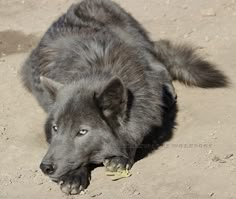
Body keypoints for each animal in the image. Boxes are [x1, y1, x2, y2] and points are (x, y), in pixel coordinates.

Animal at [20, 0, 229, 196]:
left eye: (82, 132)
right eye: (55, 128)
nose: (45, 167)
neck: (98, 68)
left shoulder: (149, 108)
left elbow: (138, 132)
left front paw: (120, 158)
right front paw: (73, 176)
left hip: (139, 45)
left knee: (159, 66)